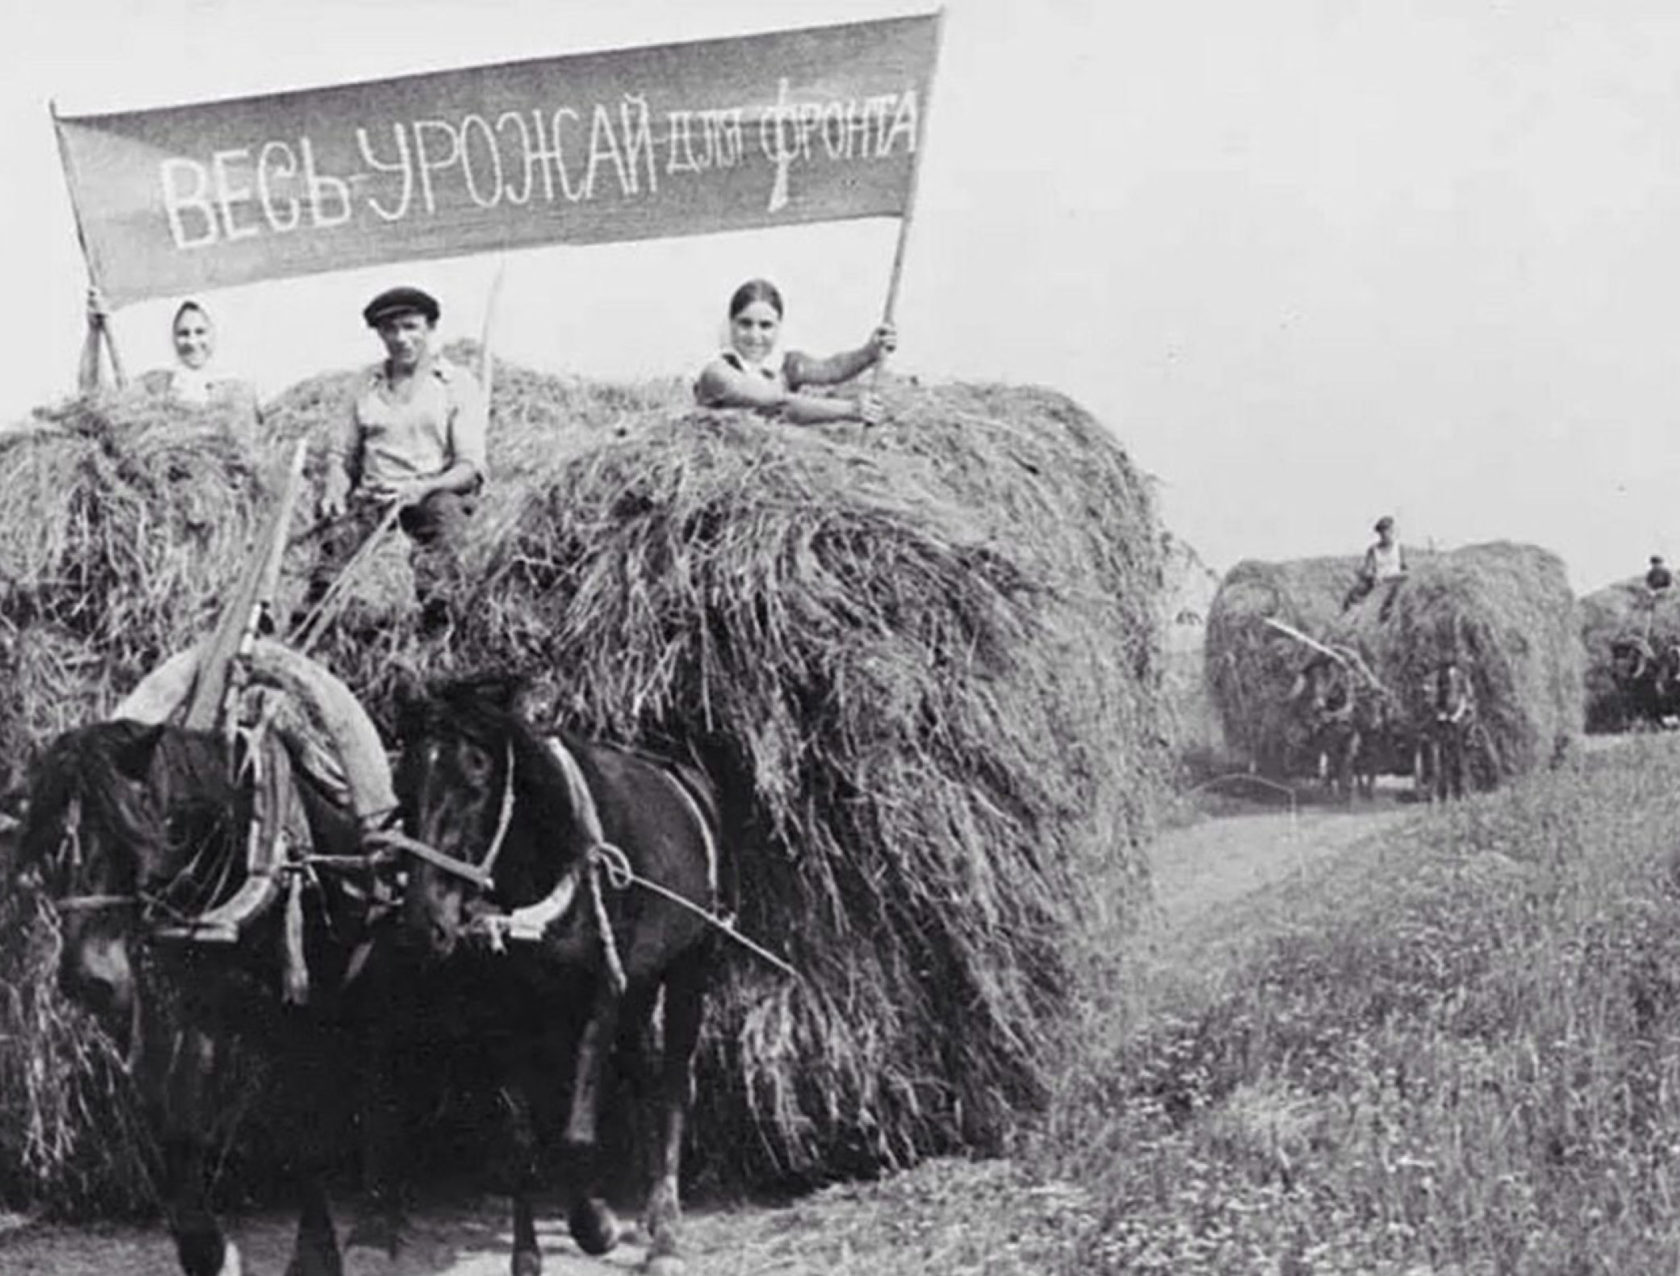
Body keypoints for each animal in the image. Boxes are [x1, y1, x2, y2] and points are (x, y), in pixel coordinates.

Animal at [12, 718, 389, 1276]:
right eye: (54, 841)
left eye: (139, 834)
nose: (89, 980)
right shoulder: (196, 1009)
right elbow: (175, 1126)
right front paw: (208, 1250)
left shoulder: (307, 1019)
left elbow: (307, 1136)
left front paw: (315, 1254)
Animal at [393, 671, 722, 1269]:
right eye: (405, 774)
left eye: (478, 768)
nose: (426, 923)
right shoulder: (506, 1010)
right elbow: (520, 1142)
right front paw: (527, 1256)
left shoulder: (600, 996)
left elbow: (576, 1135)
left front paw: (596, 1225)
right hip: (640, 985)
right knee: (642, 1074)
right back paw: (650, 1212)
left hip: (689, 968)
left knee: (672, 1085)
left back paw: (666, 1235)